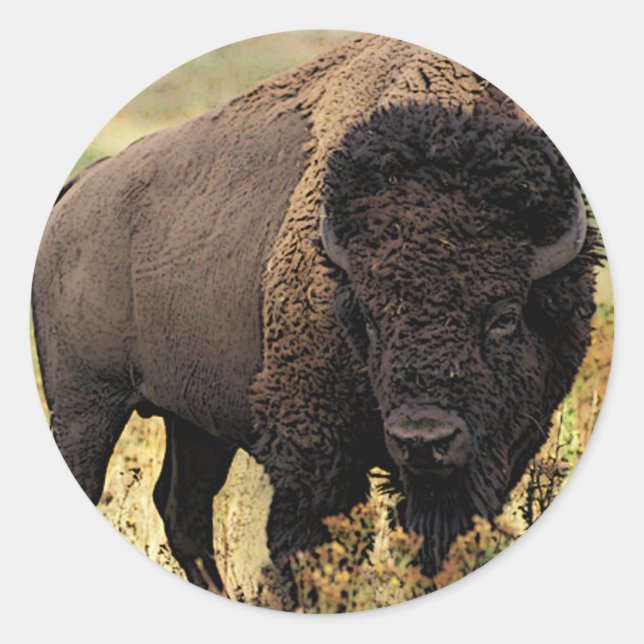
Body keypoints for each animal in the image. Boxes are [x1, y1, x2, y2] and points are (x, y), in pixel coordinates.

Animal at [32, 34, 602, 597]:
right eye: (369, 318)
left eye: (504, 316)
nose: (423, 439)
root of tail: (79, 189)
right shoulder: (314, 447)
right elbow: (312, 545)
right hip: (86, 407)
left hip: (193, 423)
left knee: (184, 510)